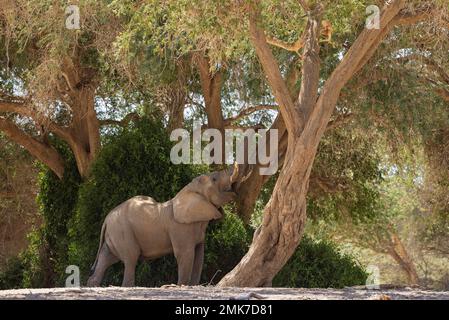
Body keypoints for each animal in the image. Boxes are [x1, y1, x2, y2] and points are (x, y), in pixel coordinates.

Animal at [85, 168, 238, 288]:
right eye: (214, 179)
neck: (188, 190)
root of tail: (106, 219)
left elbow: (199, 255)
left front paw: (193, 286)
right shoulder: (180, 228)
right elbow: (185, 254)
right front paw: (181, 286)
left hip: (114, 234)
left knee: (106, 258)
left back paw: (92, 285)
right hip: (122, 231)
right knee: (130, 259)